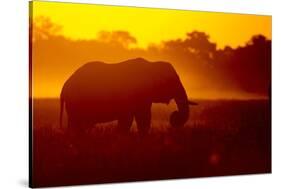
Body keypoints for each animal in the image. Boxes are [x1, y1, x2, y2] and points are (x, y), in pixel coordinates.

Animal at [59, 56, 195, 135]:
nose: (174, 117)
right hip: (76, 102)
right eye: (173, 81)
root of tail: (64, 87)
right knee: (77, 123)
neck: (152, 65)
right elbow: (138, 117)